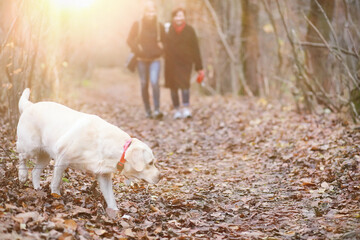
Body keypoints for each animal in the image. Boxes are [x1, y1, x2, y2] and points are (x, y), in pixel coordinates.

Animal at [16, 88, 160, 210]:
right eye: (150, 163)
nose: (161, 176)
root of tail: (29, 105)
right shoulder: (62, 158)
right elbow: (56, 182)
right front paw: (56, 196)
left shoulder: (104, 176)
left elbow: (111, 198)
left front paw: (115, 214)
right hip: (30, 146)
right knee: (21, 156)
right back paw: (22, 175)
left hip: (45, 156)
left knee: (35, 172)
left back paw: (37, 190)